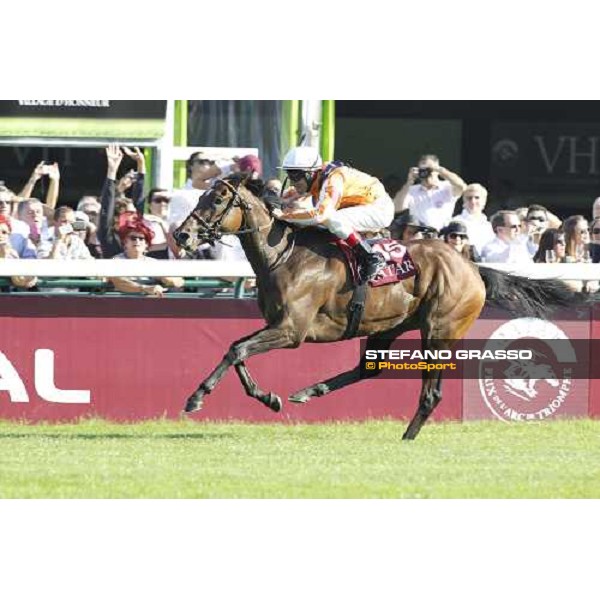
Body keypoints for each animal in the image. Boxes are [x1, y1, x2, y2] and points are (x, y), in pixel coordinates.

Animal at [172, 173, 576, 440]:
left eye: (216, 200)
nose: (181, 235)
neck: (282, 256)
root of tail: (472, 267)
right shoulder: (276, 325)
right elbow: (236, 349)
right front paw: (269, 398)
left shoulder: (292, 331)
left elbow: (237, 350)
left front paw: (196, 397)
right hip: (388, 327)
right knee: (370, 369)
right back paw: (309, 391)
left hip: (439, 332)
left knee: (431, 393)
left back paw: (407, 437)